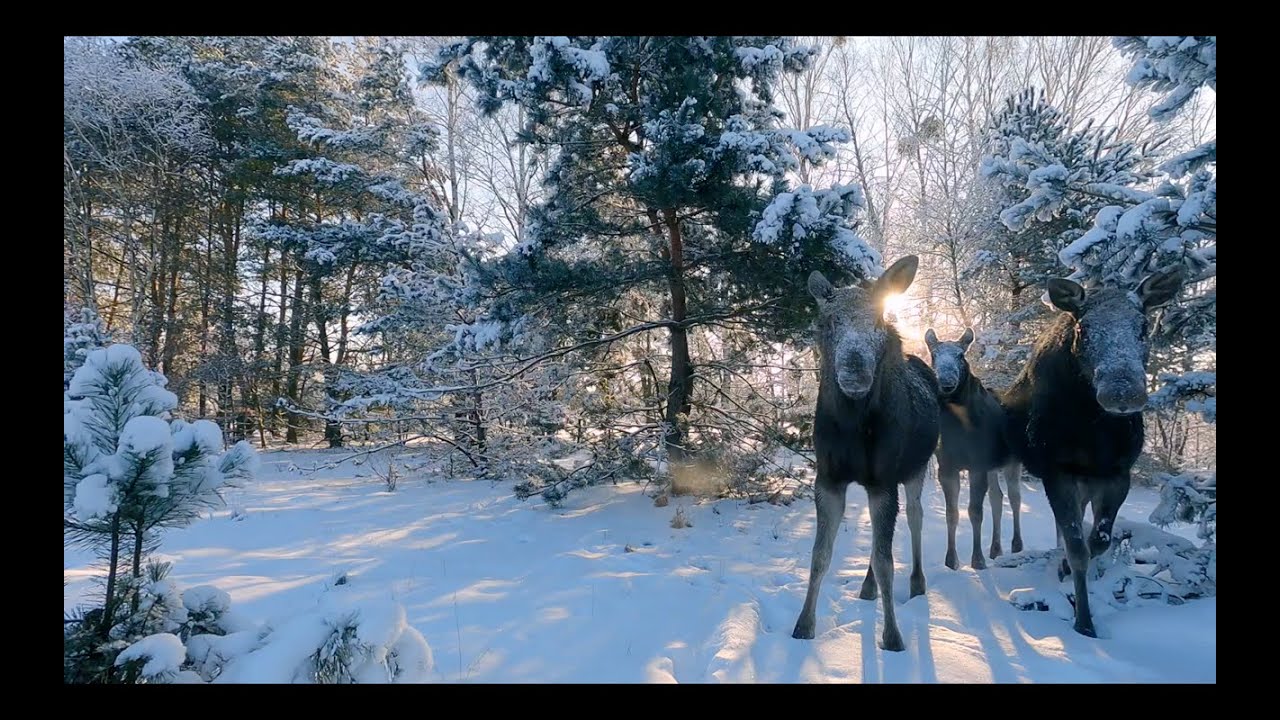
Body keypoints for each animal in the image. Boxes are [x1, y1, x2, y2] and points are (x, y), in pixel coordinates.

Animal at [788, 253, 942, 650]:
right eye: (830, 320)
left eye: (877, 319)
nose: (855, 371)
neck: (854, 431)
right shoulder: (829, 478)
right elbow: (820, 555)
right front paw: (803, 625)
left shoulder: (884, 480)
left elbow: (887, 560)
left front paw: (892, 636)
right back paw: (867, 586)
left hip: (916, 470)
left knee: (915, 518)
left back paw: (918, 582)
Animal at [926, 327, 1024, 568]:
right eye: (934, 354)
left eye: (961, 355)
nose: (947, 381)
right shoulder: (947, 467)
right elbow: (951, 513)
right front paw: (951, 561)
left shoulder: (977, 465)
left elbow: (975, 511)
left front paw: (977, 559)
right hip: (993, 466)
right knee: (997, 497)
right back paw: (996, 549)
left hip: (1012, 462)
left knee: (1015, 498)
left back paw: (1016, 545)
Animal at [1003, 267, 1182, 632]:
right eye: (1084, 328)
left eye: (1143, 325)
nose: (1122, 392)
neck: (1095, 433)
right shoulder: (1058, 471)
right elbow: (1077, 549)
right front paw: (1083, 622)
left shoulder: (1117, 473)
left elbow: (1098, 541)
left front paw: (1069, 576)